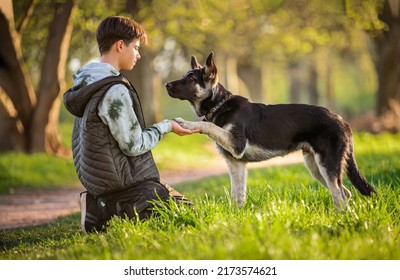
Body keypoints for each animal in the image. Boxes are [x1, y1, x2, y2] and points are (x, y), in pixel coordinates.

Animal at [164, 52, 376, 210]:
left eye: (191, 78)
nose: (166, 85)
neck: (219, 105)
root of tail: (343, 121)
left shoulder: (236, 144)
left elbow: (208, 125)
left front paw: (186, 123)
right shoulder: (236, 165)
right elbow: (237, 196)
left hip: (326, 164)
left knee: (339, 195)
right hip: (315, 166)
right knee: (344, 193)